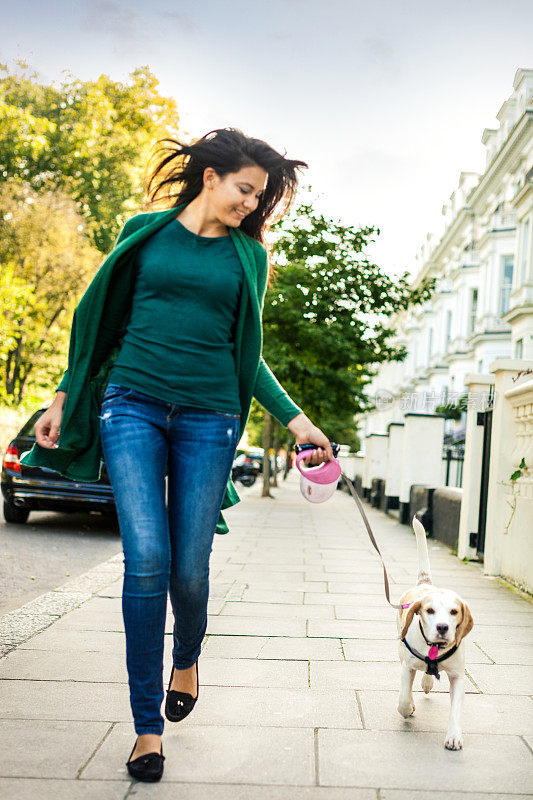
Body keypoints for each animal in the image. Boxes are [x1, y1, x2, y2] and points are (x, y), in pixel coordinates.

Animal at [394, 516, 474, 748]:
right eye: (429, 610)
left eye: (454, 612)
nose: (442, 627)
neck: (435, 649)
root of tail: (425, 584)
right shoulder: (407, 667)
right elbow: (404, 696)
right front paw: (407, 708)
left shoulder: (457, 676)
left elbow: (456, 709)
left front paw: (454, 735)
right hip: (401, 651)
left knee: (427, 674)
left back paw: (428, 681)